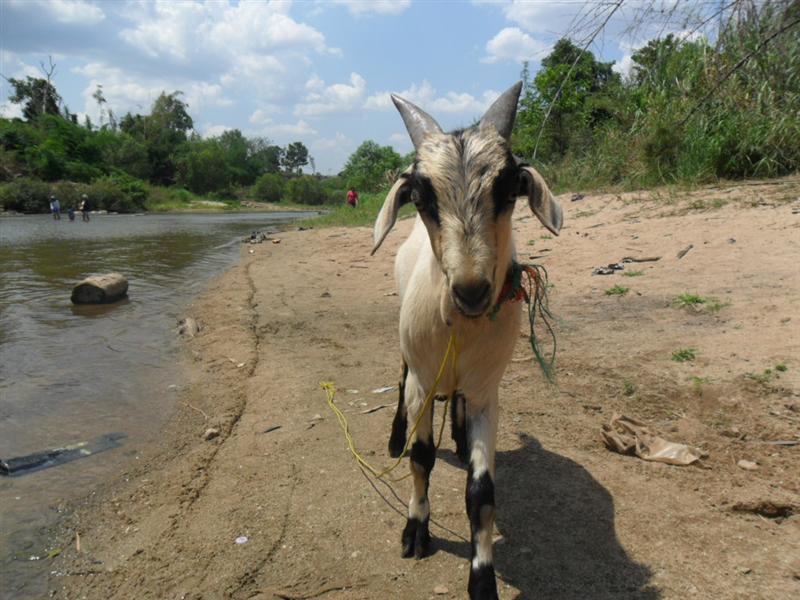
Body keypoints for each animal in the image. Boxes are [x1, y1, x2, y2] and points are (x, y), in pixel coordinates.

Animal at [370, 81, 564, 600]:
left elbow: (481, 493)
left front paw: (482, 577)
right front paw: (416, 530)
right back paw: (396, 439)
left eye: (509, 186)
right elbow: (421, 458)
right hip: (408, 354)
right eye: (420, 196)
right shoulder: (422, 379)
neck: (458, 323)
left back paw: (455, 438)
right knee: (400, 382)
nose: (472, 290)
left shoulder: (485, 392)